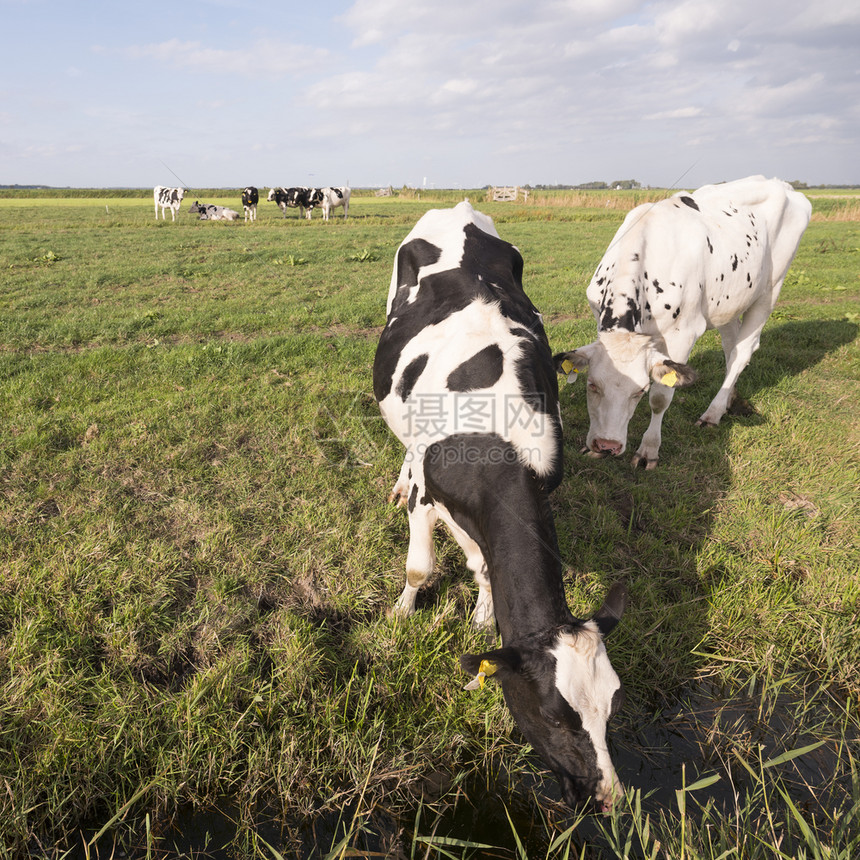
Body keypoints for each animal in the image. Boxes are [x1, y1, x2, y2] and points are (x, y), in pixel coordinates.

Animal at [372, 198, 628, 808]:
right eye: (556, 717)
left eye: (612, 706)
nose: (608, 796)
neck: (496, 439)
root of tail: (459, 208)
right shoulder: (429, 493)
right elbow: (420, 568)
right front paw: (402, 614)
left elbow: (486, 566)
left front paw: (483, 621)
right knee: (402, 448)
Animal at [556, 176, 808, 470]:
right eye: (592, 385)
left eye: (640, 391)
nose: (608, 445)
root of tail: (781, 184)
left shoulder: (683, 334)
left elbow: (661, 397)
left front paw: (649, 450)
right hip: (728, 300)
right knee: (731, 347)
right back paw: (728, 400)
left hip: (770, 289)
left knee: (743, 352)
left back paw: (712, 413)